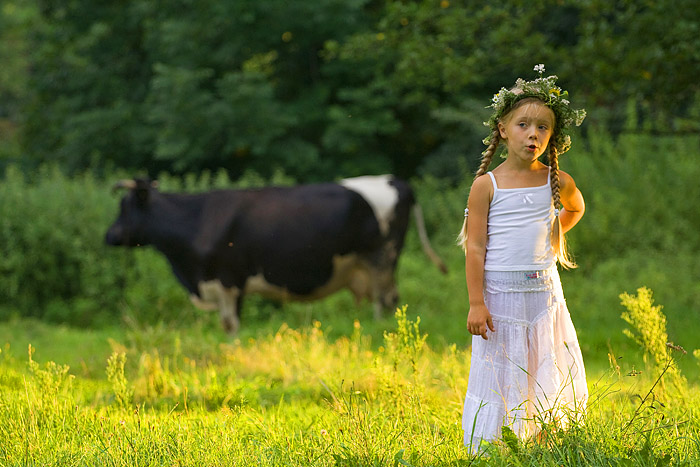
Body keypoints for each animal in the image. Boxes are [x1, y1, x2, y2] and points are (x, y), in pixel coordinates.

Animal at [106, 175, 446, 332]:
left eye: (125, 207)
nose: (108, 235)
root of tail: (394, 179)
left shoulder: (228, 280)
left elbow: (231, 325)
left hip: (382, 258)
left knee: (384, 299)